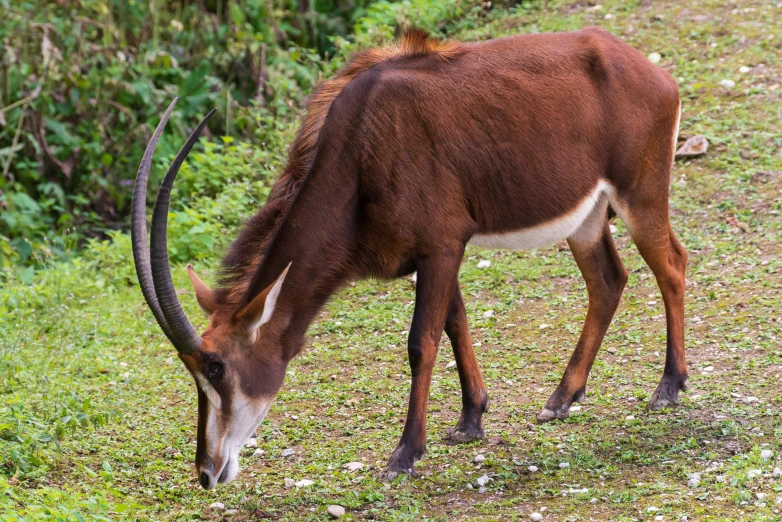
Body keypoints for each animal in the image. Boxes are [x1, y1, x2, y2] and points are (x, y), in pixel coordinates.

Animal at [132, 26, 688, 486]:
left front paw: (404, 454)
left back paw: (669, 386)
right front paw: (470, 420)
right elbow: (455, 322)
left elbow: (422, 341)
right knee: (608, 281)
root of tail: (652, 72)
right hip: (587, 219)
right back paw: (562, 397)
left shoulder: (441, 246)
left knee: (672, 266)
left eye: (218, 368)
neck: (359, 149)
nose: (207, 472)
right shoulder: (437, 251)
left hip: (639, 196)